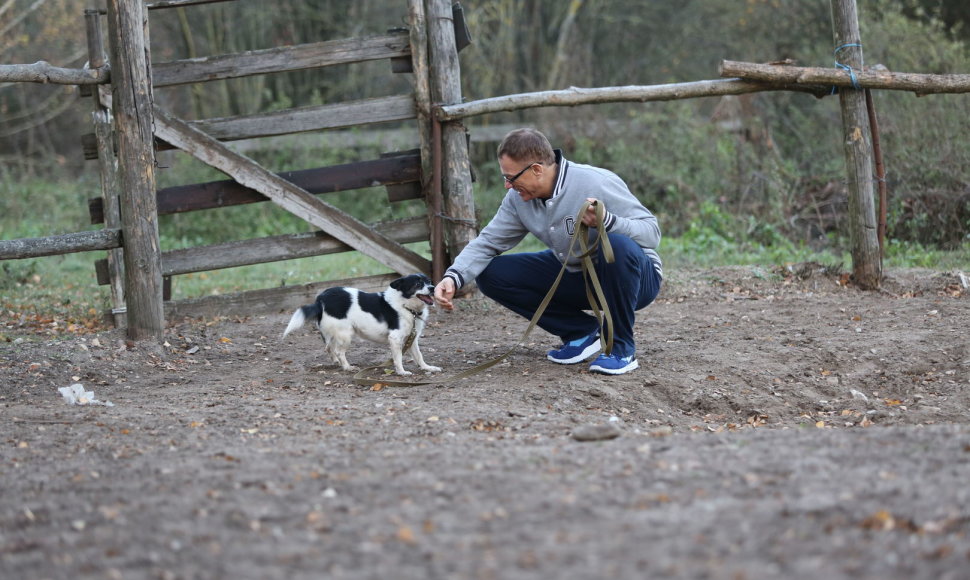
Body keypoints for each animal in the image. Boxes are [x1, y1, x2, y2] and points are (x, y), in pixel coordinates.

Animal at [280, 276, 442, 378]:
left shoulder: (412, 338)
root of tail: (321, 299)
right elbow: (398, 358)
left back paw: (336, 362)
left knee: (329, 348)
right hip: (346, 335)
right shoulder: (395, 338)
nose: (433, 288)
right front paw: (401, 372)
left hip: (334, 333)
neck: (405, 306)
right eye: (417, 284)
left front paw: (427, 368)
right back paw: (347, 367)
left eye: (429, 281)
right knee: (339, 351)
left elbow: (419, 356)